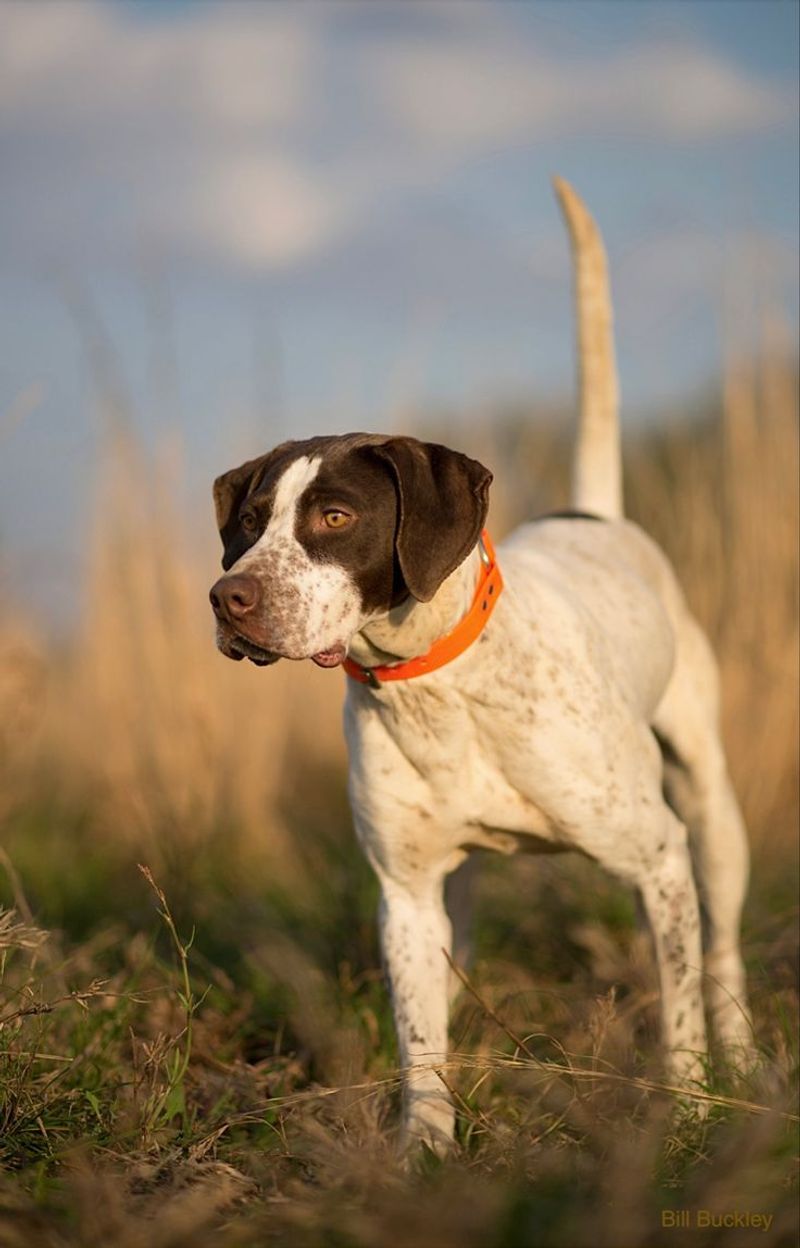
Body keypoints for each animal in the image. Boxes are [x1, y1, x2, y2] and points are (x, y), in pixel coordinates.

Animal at [209, 178, 753, 1148]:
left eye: (337, 517)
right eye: (248, 522)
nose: (227, 598)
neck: (438, 688)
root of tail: (594, 514)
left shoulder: (660, 856)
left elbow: (680, 1011)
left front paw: (691, 1112)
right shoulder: (406, 893)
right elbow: (421, 1043)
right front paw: (424, 1149)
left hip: (709, 811)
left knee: (720, 949)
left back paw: (747, 1056)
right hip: (460, 891)